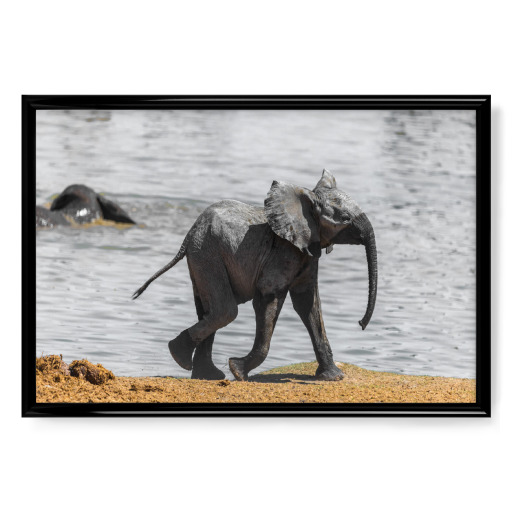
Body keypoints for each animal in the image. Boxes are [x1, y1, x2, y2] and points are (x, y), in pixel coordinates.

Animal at [134, 170, 378, 382]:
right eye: (345, 218)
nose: (360, 324)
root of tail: (188, 235)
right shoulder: (283, 253)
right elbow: (268, 298)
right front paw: (238, 371)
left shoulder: (307, 253)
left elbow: (308, 303)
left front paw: (333, 377)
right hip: (206, 251)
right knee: (225, 311)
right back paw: (180, 356)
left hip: (202, 253)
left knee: (207, 309)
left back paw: (205, 374)